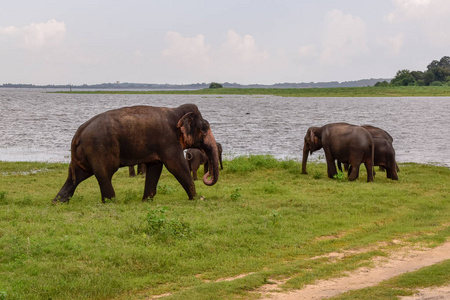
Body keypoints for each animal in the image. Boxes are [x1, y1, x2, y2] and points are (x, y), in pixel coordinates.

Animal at [52, 103, 220, 204]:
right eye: (205, 128)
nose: (207, 176)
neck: (175, 111)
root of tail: (79, 132)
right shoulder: (169, 141)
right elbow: (176, 166)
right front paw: (199, 198)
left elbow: (155, 167)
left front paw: (146, 201)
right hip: (99, 149)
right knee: (104, 173)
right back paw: (112, 202)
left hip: (83, 155)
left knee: (76, 176)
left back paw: (58, 202)